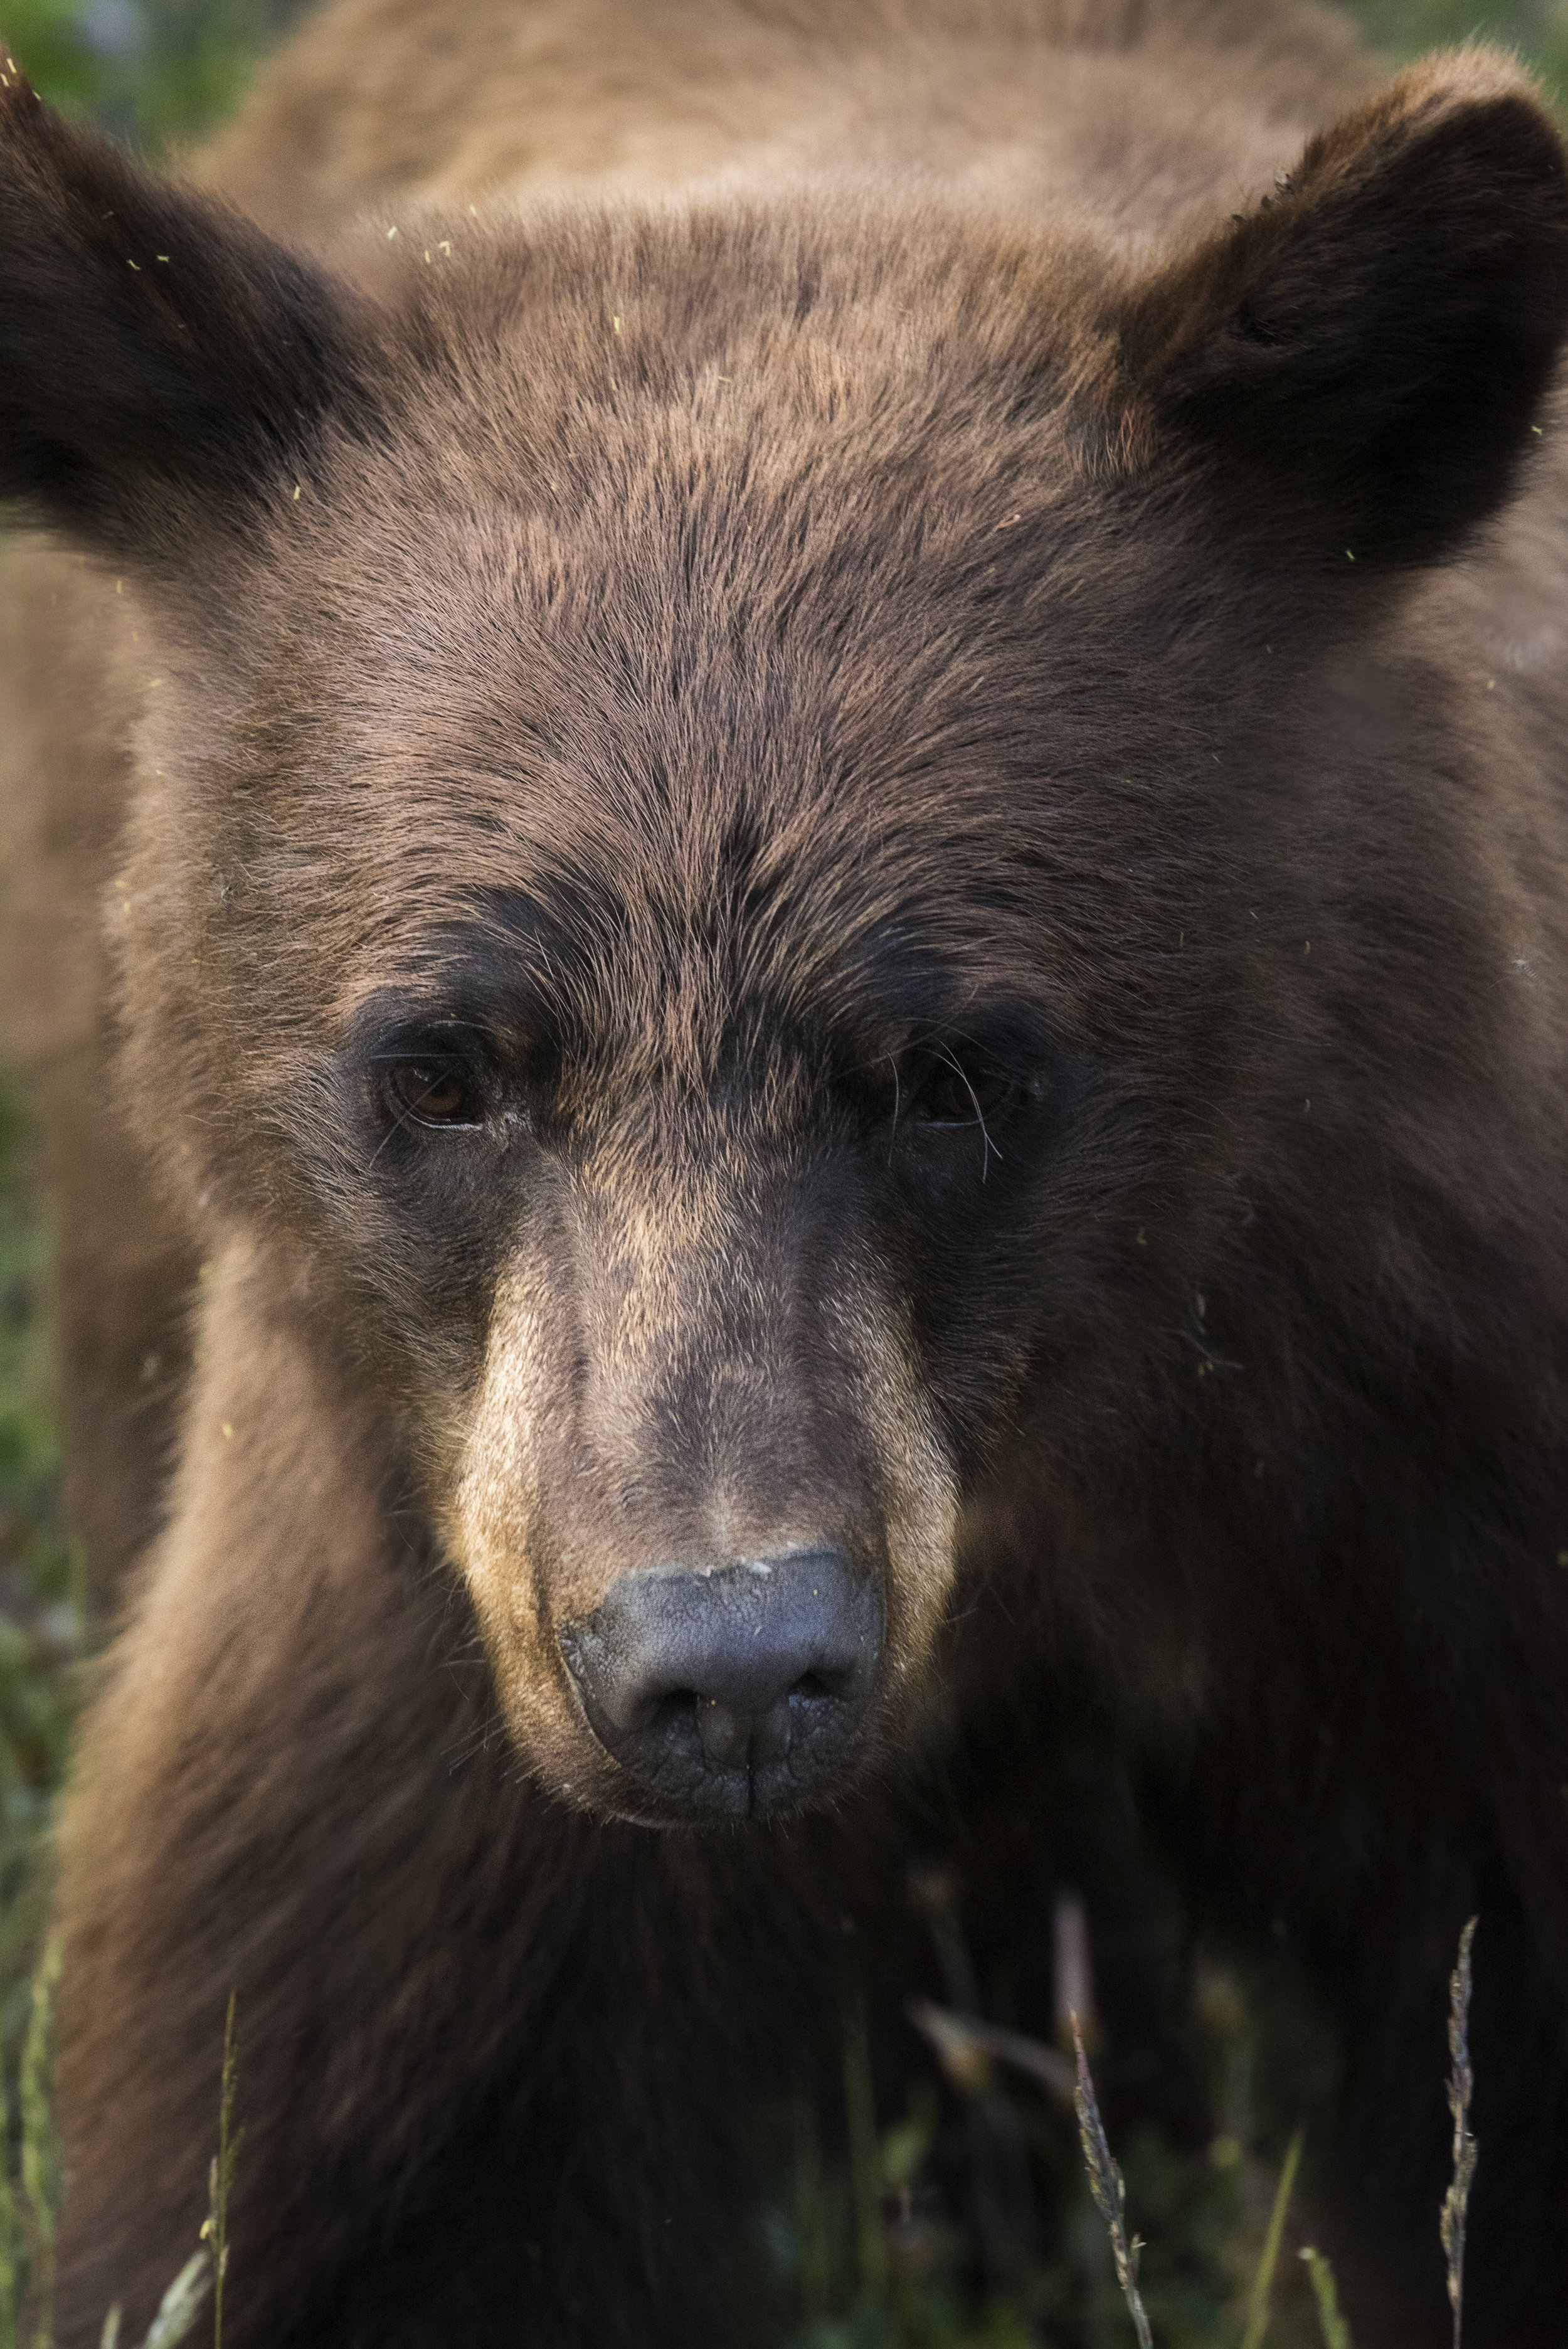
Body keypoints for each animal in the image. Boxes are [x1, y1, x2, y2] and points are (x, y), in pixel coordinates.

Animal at [3, 0, 1568, 2340]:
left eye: (952, 1075)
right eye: (444, 1071)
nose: (729, 1668)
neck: (1068, 1466)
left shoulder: (1417, 1444)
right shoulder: (406, 1582)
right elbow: (342, 2149)